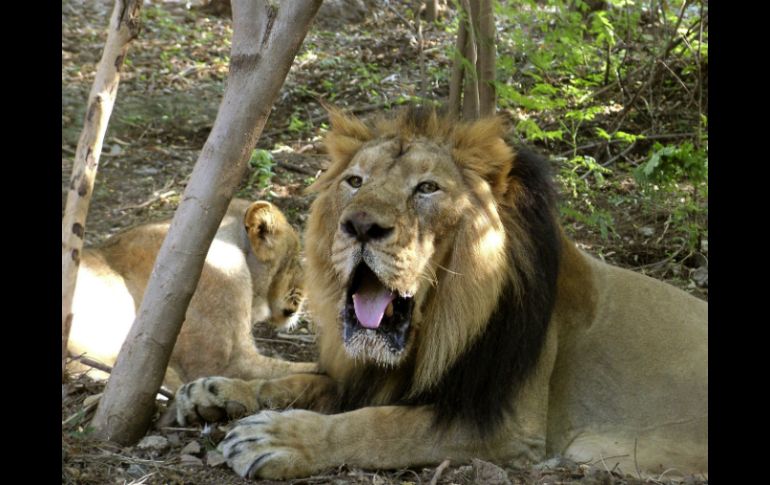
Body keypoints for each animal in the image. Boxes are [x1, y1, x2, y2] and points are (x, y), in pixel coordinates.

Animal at [177, 107, 704, 480]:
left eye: (427, 188)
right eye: (355, 181)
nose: (360, 226)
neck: (436, 329)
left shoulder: (506, 423)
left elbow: (381, 424)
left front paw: (279, 438)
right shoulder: (362, 376)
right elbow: (300, 379)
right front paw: (214, 391)